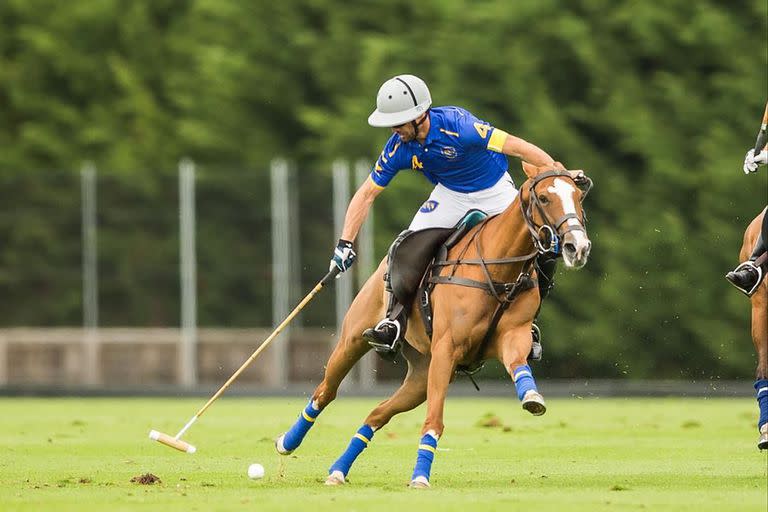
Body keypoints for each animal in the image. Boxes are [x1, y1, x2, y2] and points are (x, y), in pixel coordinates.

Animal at [278, 167, 592, 488]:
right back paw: (288, 442)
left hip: (421, 375)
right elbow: (434, 421)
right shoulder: (447, 348)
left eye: (577, 196)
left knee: (377, 413)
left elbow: (519, 365)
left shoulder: (513, 336)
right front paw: (419, 477)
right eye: (544, 197)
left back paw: (338, 471)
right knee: (325, 392)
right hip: (354, 340)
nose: (577, 247)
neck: (497, 269)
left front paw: (532, 397)